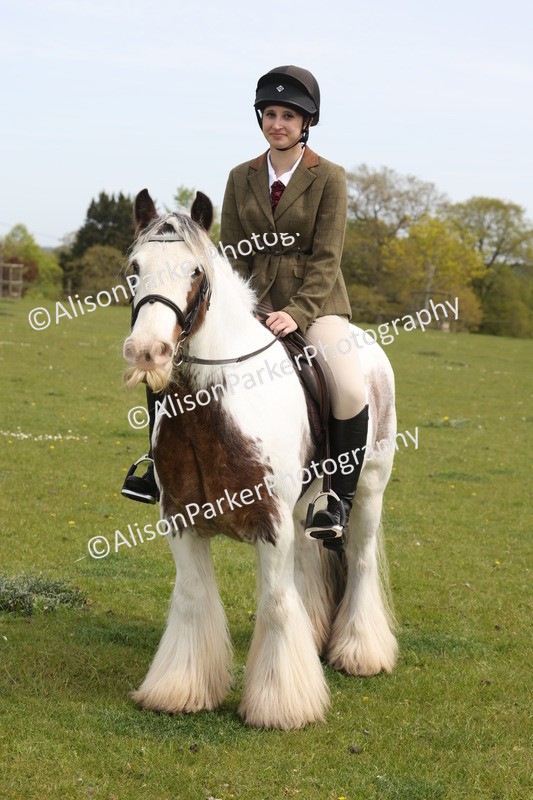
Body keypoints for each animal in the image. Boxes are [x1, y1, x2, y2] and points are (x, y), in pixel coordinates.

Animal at [122, 189, 398, 730]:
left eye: (196, 271)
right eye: (136, 268)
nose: (148, 352)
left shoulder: (271, 523)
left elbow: (274, 602)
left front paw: (281, 704)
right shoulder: (181, 519)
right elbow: (193, 599)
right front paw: (180, 689)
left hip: (370, 488)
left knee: (358, 560)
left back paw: (360, 652)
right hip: (306, 505)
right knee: (311, 561)